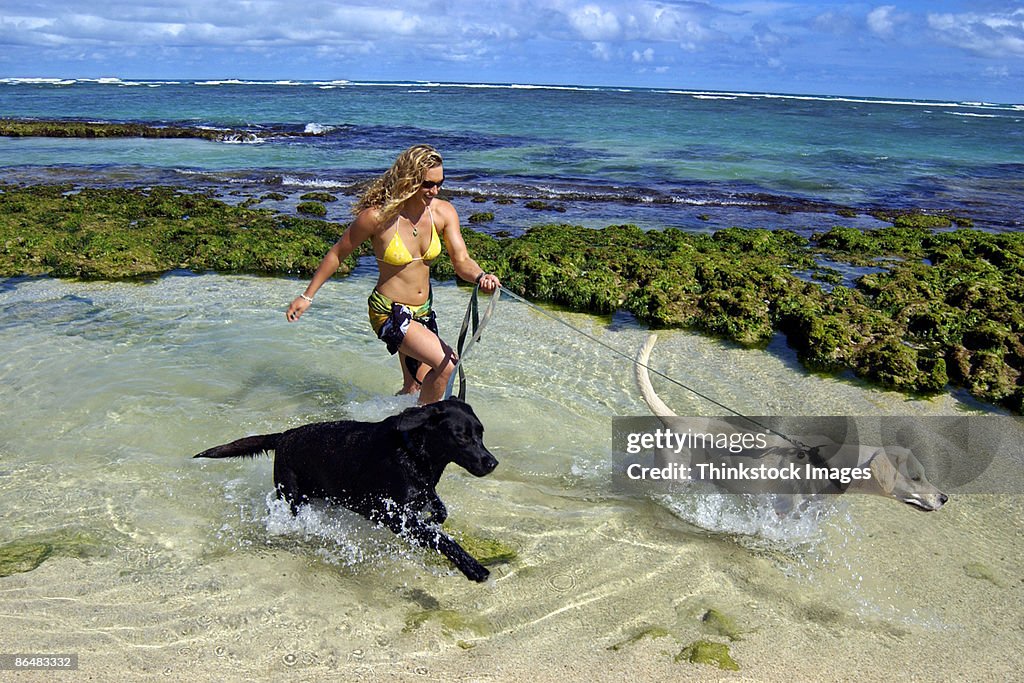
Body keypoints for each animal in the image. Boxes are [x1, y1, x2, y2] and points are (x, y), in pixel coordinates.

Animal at [193, 401, 497, 581]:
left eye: (481, 433)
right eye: (462, 437)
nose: (492, 462)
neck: (413, 452)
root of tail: (284, 436)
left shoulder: (420, 496)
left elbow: (439, 510)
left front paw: (437, 515)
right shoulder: (391, 516)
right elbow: (441, 539)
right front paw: (472, 567)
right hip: (292, 495)